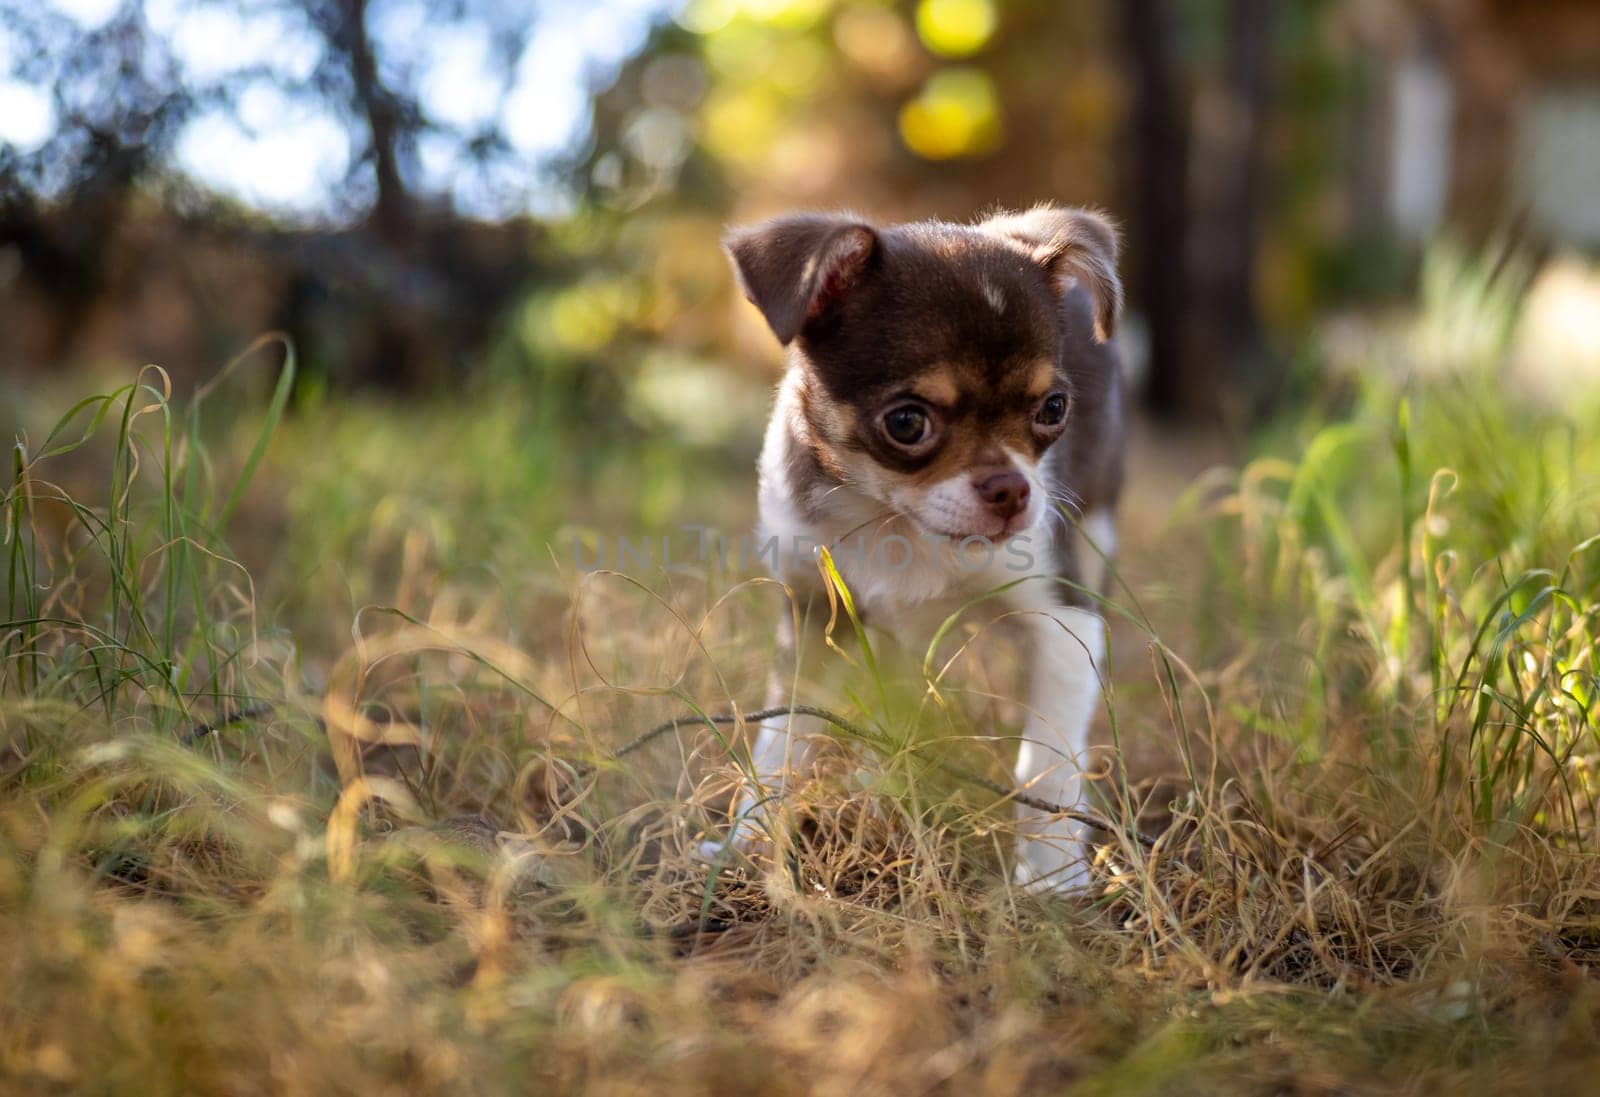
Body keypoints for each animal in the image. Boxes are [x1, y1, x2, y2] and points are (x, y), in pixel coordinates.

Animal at [720, 203, 1120, 895]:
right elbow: (780, 741)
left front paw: (1051, 879)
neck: (895, 522)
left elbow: (1047, 760)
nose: (1013, 489)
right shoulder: (814, 617)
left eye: (1053, 408)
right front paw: (744, 841)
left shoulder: (1065, 624)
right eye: (907, 423)